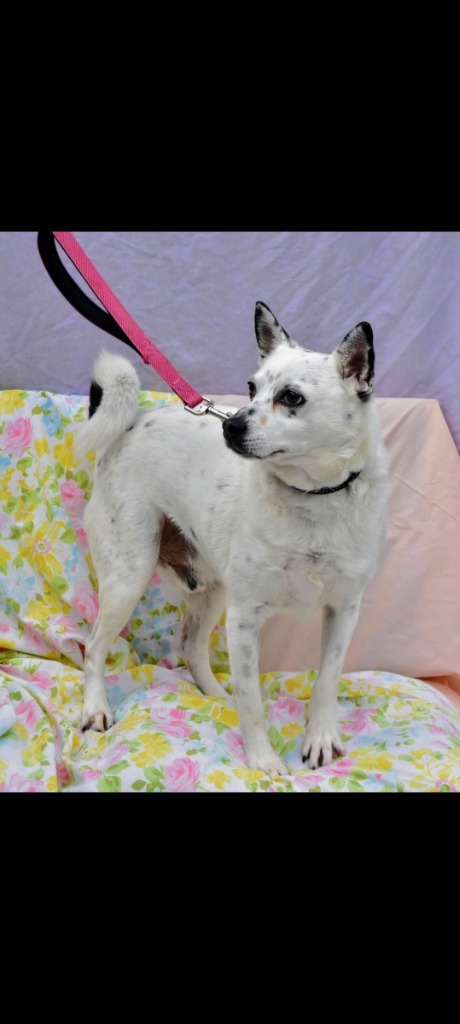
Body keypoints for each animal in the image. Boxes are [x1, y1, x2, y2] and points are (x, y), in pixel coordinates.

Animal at [77, 303, 387, 774]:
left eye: (291, 397)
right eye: (251, 388)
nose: (231, 427)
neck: (312, 500)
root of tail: (134, 422)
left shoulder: (344, 610)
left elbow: (327, 681)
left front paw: (319, 738)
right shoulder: (245, 618)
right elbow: (253, 700)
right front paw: (262, 760)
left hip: (211, 586)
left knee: (190, 645)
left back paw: (216, 698)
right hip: (129, 576)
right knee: (94, 648)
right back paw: (96, 708)